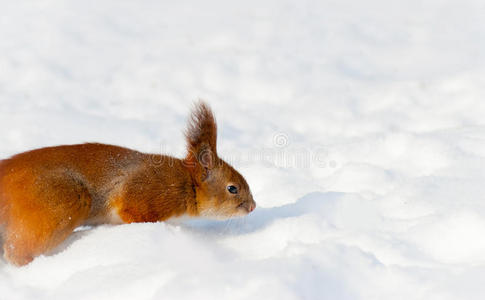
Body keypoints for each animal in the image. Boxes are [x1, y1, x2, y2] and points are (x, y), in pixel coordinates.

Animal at [0, 102, 255, 266]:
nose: (252, 206)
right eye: (232, 188)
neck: (185, 183)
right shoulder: (148, 194)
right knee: (17, 249)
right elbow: (132, 213)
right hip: (61, 203)